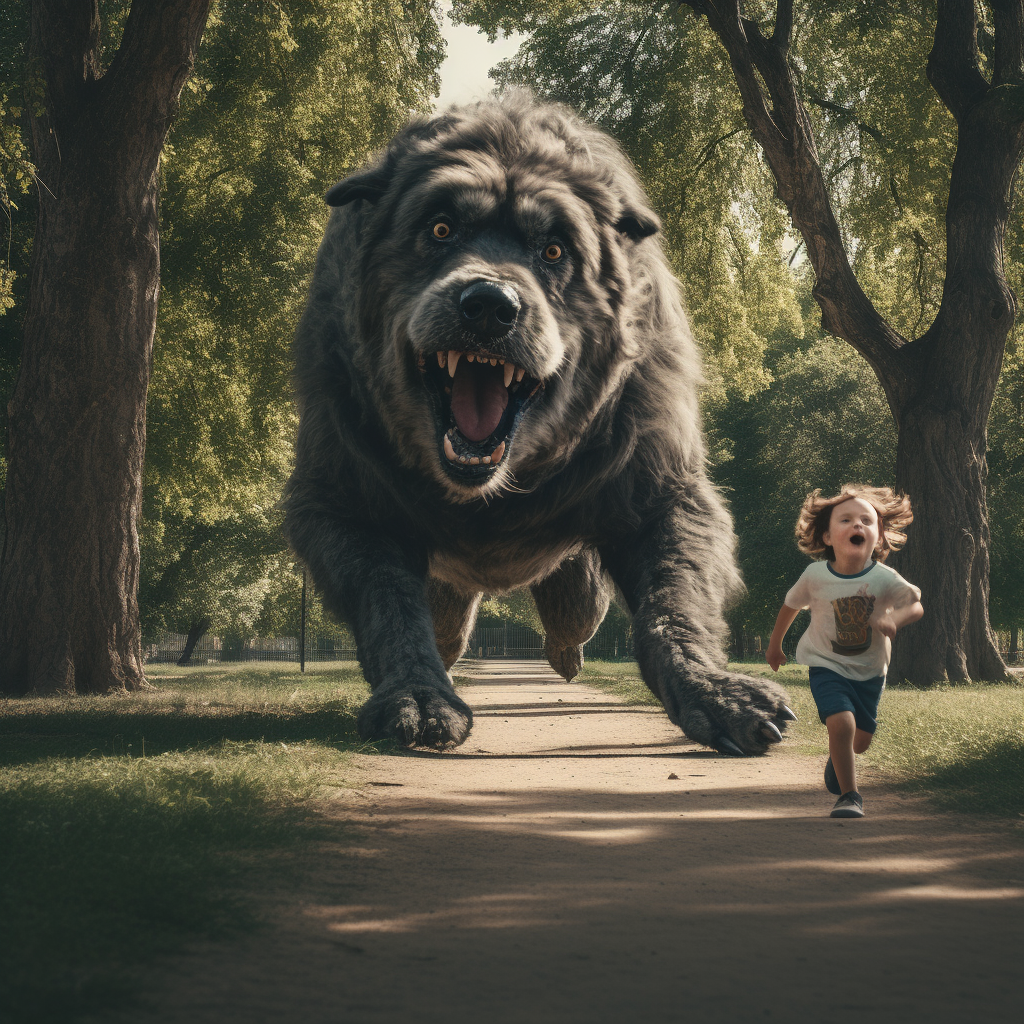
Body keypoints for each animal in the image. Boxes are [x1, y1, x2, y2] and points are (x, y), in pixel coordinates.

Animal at [284, 94, 794, 753]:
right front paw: (417, 694)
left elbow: (672, 605)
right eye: (440, 228)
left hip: (577, 578)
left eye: (554, 250)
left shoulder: (665, 494)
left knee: (576, 612)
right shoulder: (342, 504)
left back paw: (567, 656)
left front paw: (714, 691)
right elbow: (389, 602)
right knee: (447, 628)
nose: (488, 304)